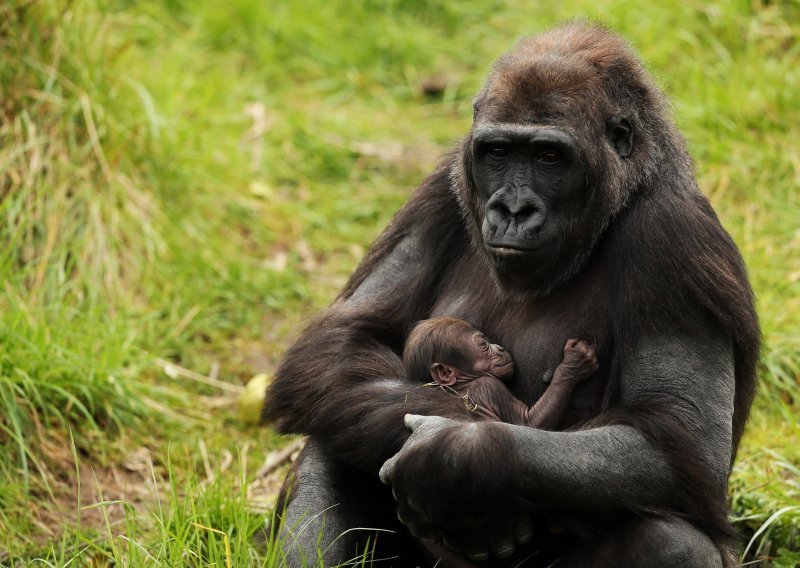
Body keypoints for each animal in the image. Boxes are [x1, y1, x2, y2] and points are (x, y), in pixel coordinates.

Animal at [404, 318, 596, 428]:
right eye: (483, 344)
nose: (499, 348)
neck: (461, 383)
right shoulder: (488, 387)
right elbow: (528, 422)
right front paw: (574, 363)